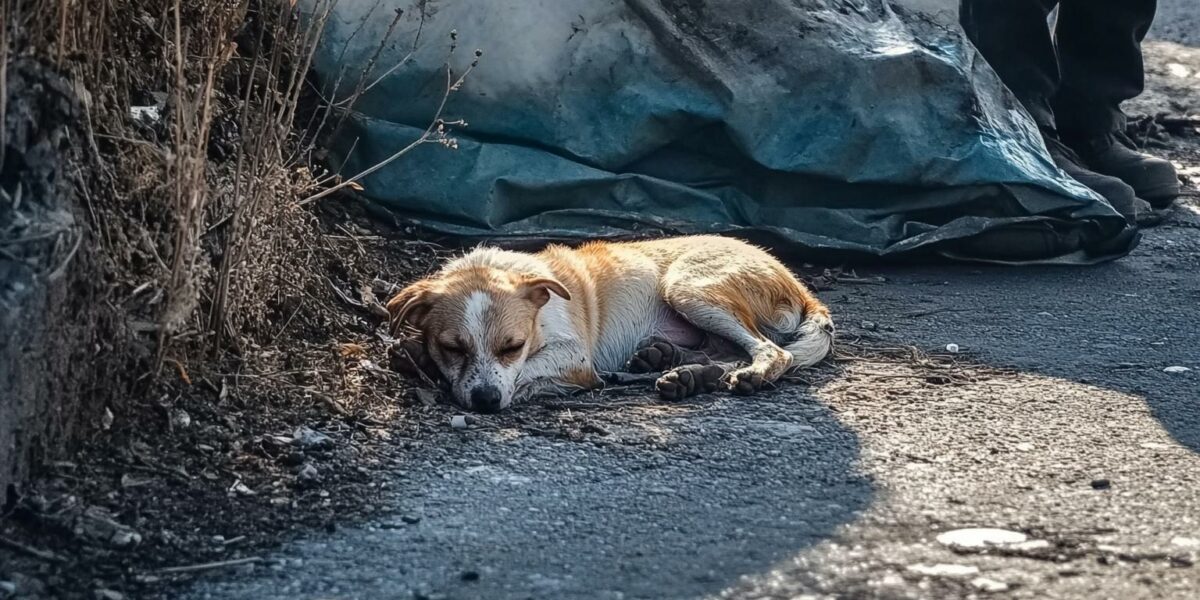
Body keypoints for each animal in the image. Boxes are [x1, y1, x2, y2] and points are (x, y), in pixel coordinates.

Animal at [386, 234, 835, 412]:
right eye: (453, 347)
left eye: (512, 346)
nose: (485, 402)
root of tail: (798, 282)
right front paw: (415, 354)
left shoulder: (574, 357)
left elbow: (526, 373)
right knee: (727, 351)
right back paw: (683, 370)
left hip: (686, 286)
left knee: (771, 351)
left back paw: (737, 374)